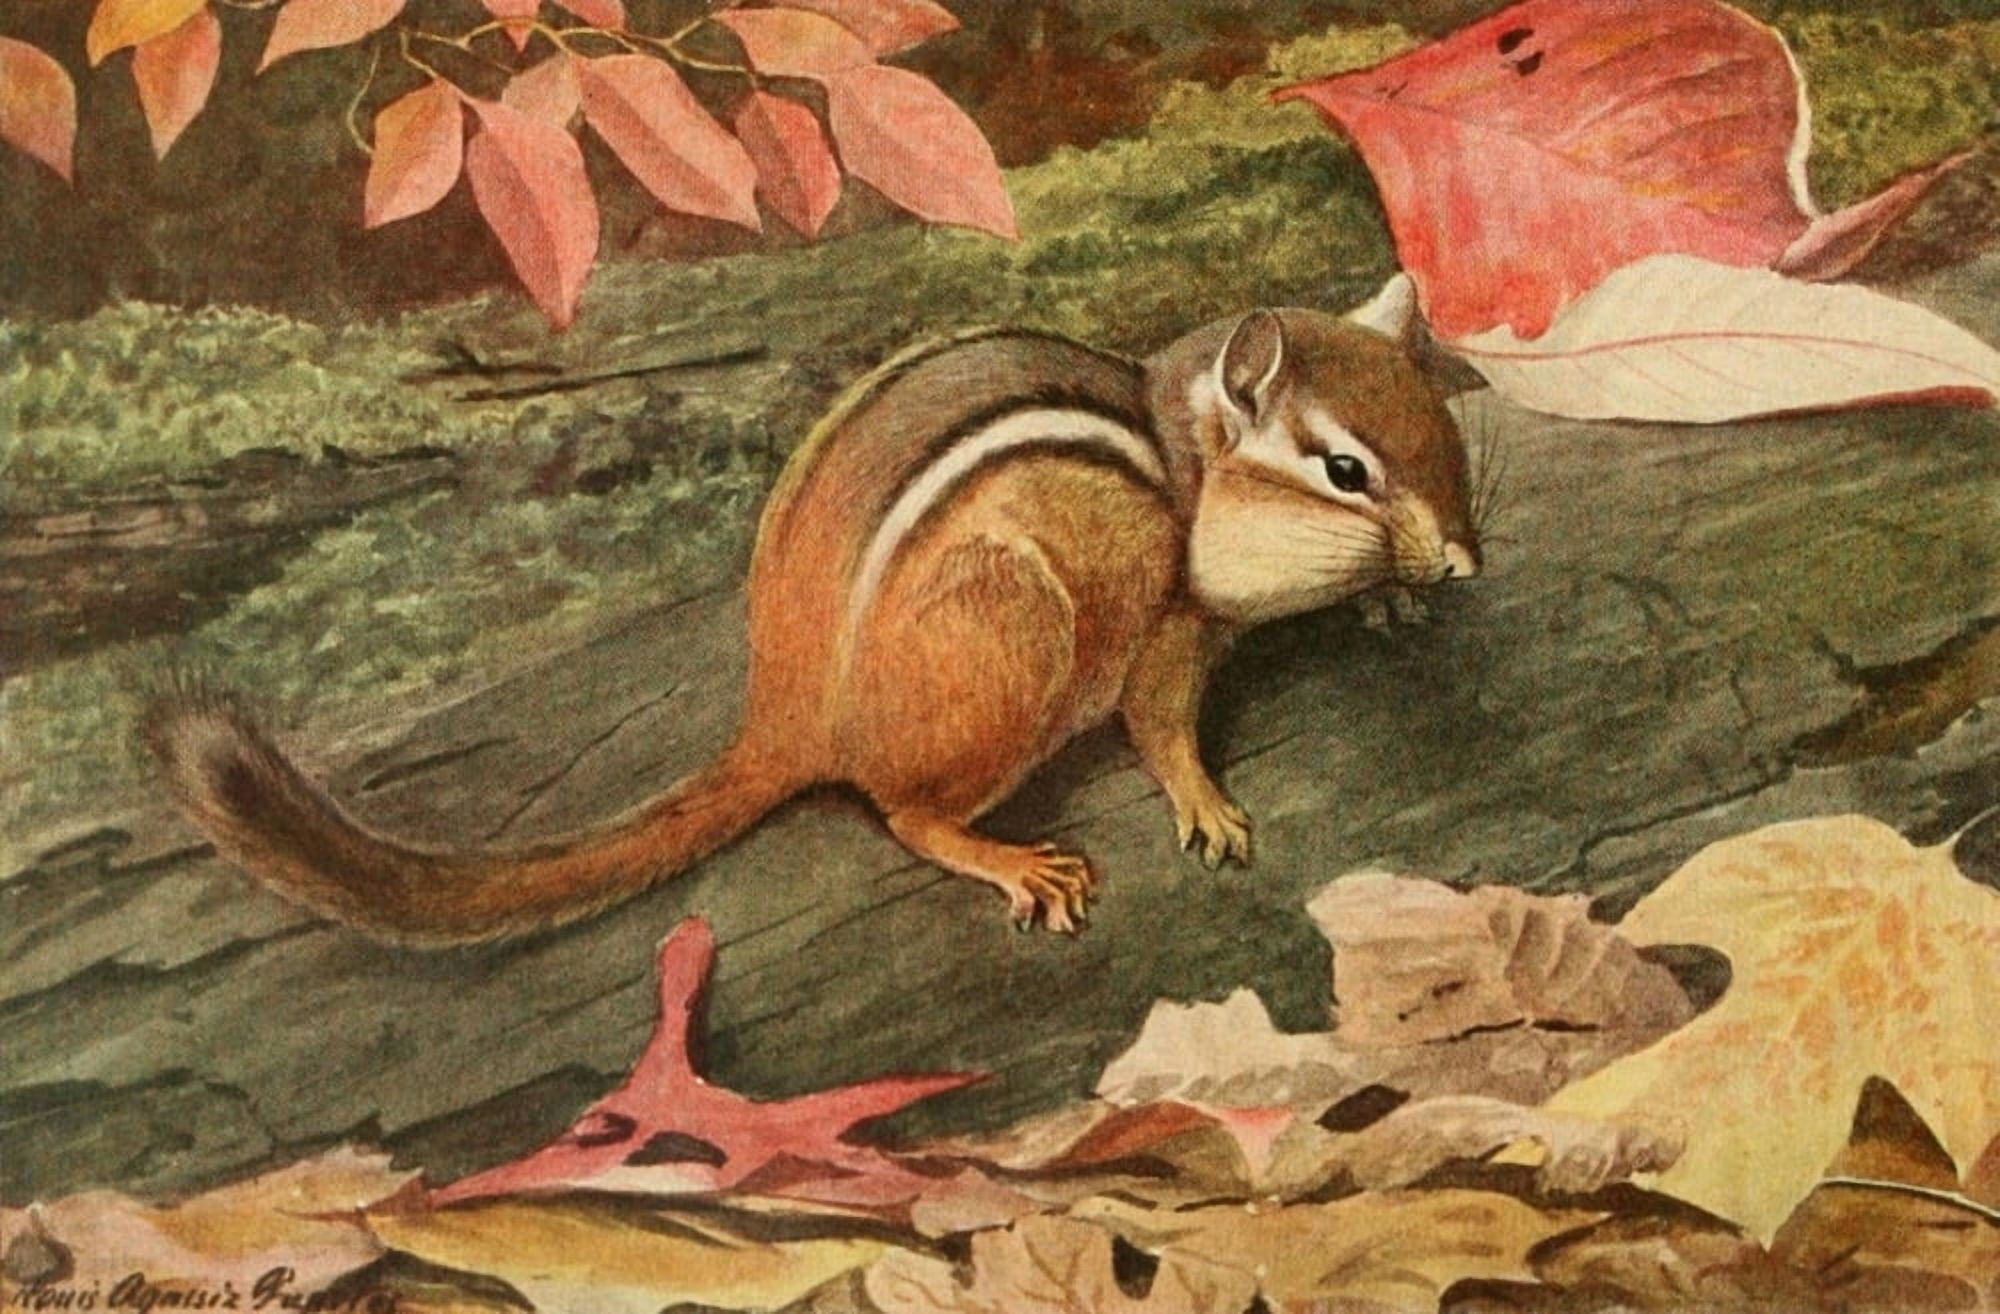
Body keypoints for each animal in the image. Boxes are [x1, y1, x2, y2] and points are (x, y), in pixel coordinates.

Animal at [146, 276, 1479, 944]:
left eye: (1442, 424)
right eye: (1344, 470)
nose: (1465, 563)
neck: (1183, 469)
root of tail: (791, 713)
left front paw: (1388, 606)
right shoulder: (1162, 625)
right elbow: (1158, 727)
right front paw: (1203, 802)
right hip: (1011, 632)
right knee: (900, 811)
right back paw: (998, 854)